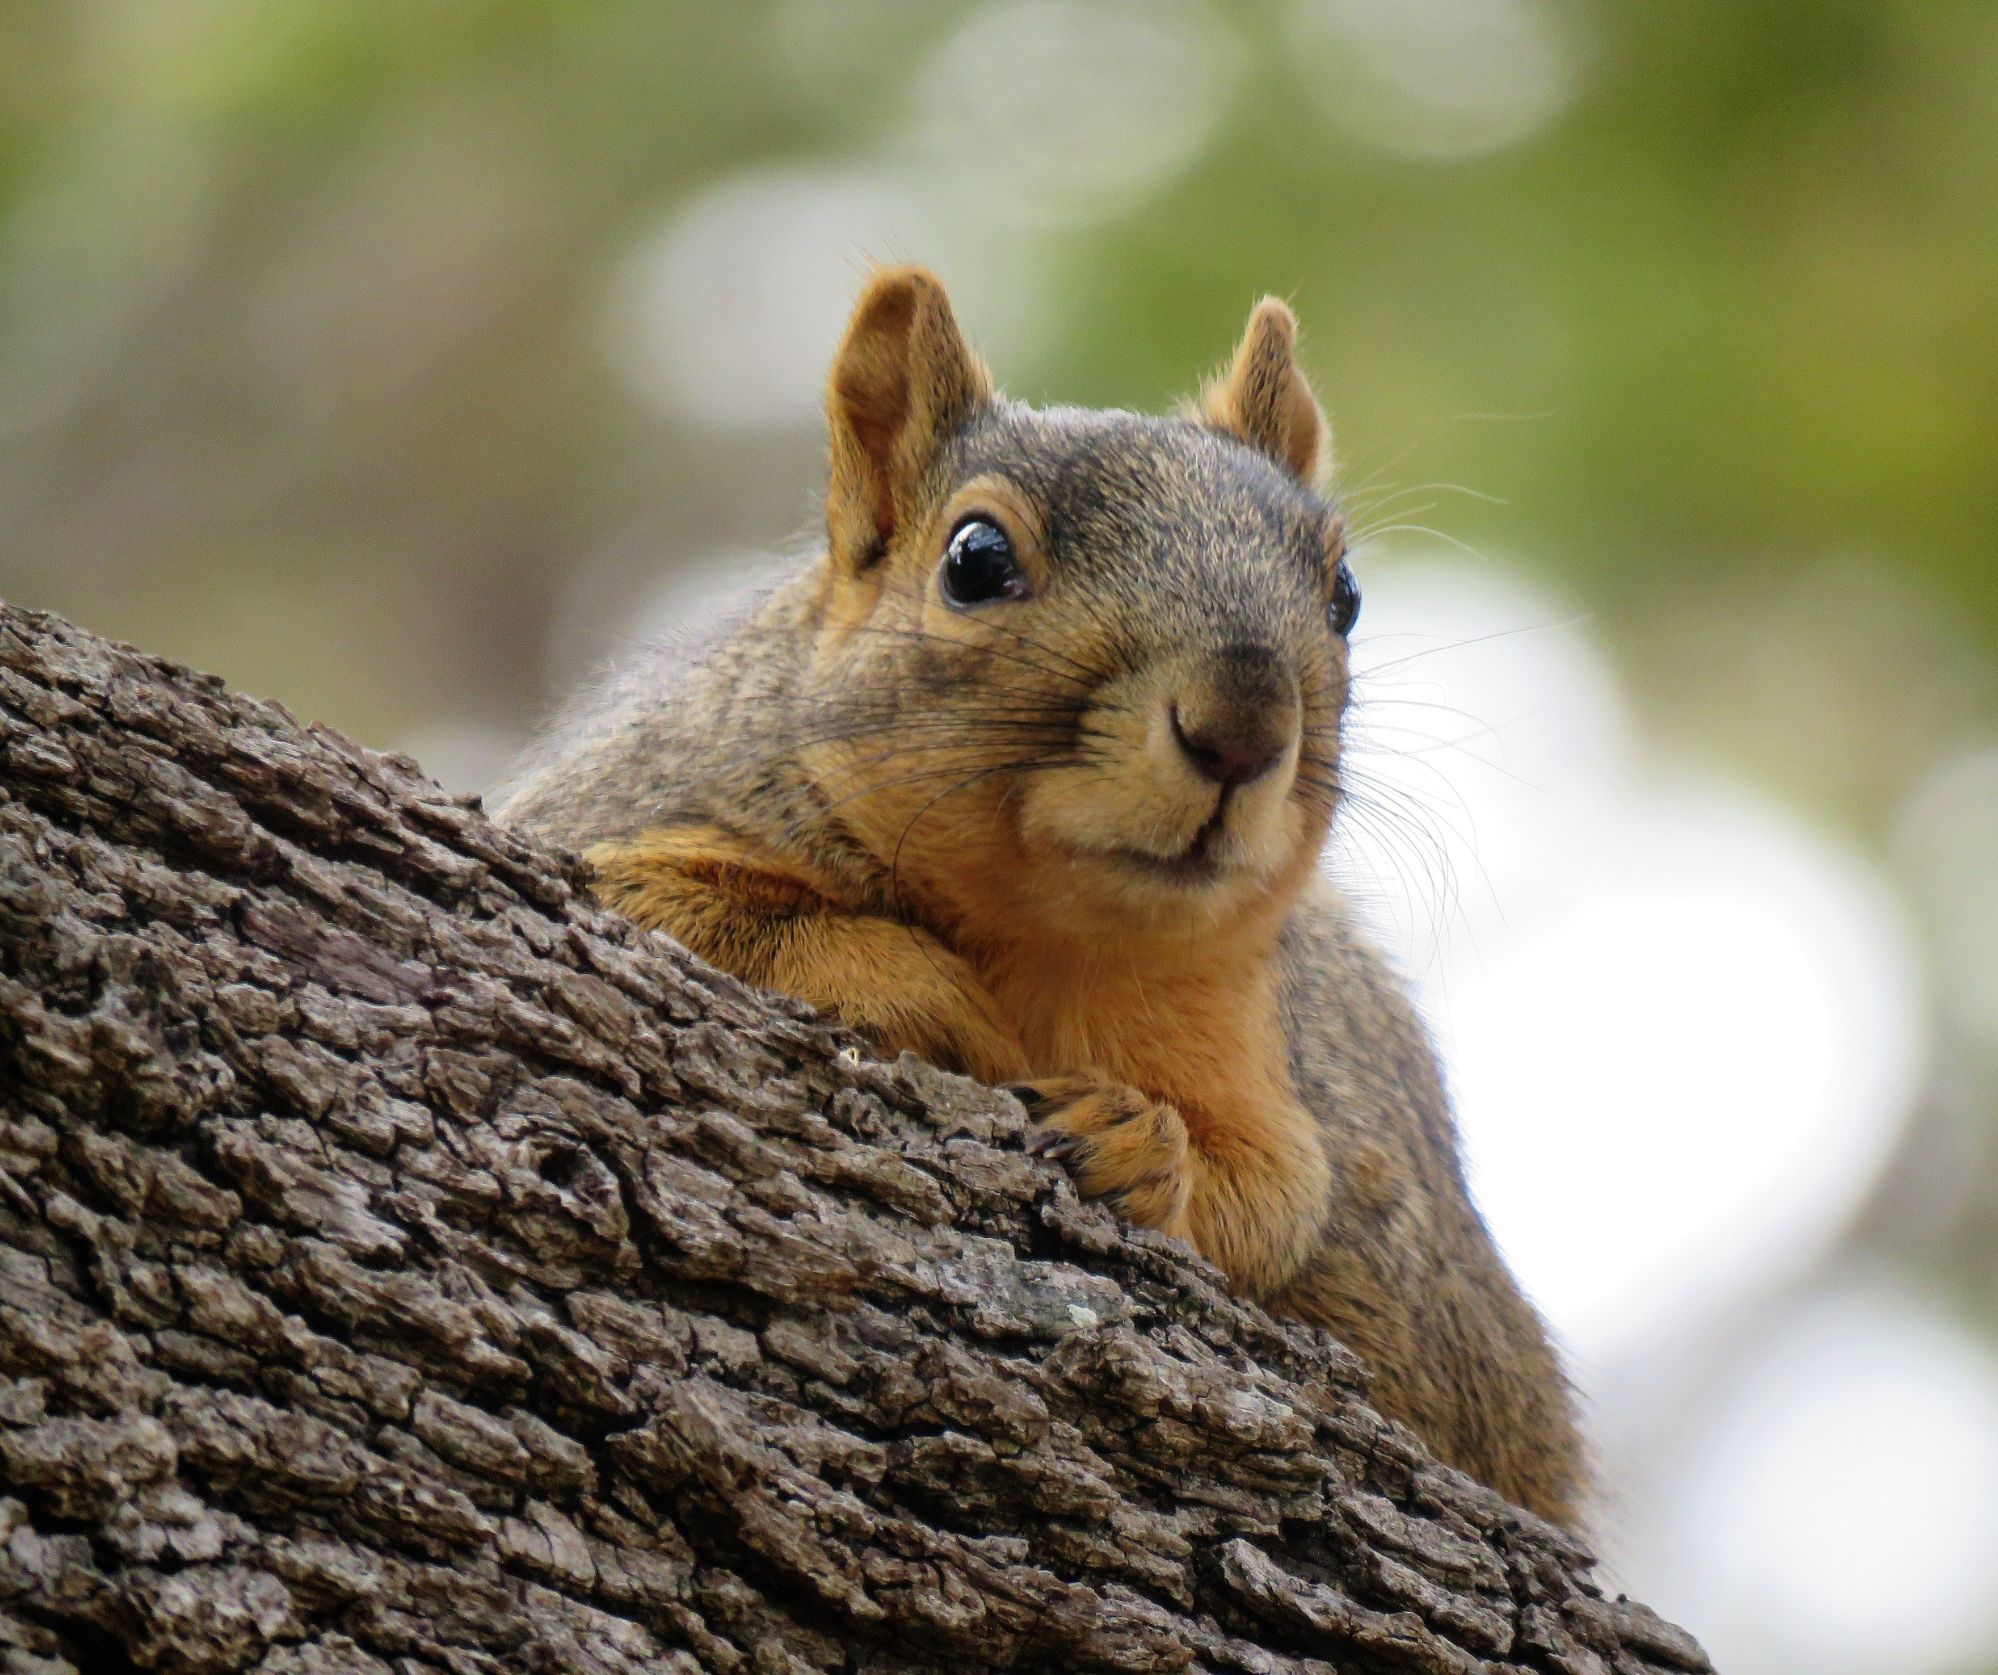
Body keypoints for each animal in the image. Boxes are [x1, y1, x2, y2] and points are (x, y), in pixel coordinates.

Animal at [495, 267, 1582, 1524]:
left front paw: (1139, 1140)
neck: (1052, 940)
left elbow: (1282, 1192)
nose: (1244, 724)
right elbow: (674, 895)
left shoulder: (1270, 1051)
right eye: (973, 559)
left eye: (1346, 593)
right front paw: (923, 992)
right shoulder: (605, 815)